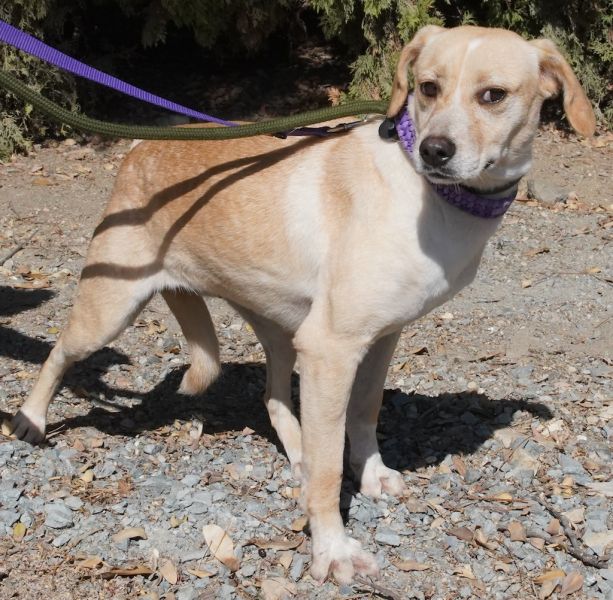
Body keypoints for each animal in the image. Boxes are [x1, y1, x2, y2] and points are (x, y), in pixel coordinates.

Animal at [10, 26, 594, 583]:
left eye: (492, 95)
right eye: (428, 87)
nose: (435, 150)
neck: (428, 197)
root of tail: (137, 149)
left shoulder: (378, 338)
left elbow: (364, 411)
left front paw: (371, 474)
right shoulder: (332, 348)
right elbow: (330, 471)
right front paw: (332, 550)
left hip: (281, 328)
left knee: (274, 397)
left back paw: (297, 452)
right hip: (110, 308)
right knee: (59, 353)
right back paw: (31, 420)